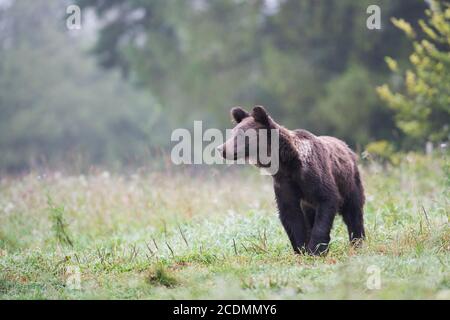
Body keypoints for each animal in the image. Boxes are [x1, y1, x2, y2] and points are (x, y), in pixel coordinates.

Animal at [218, 106, 366, 256]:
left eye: (241, 135)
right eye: (233, 133)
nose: (221, 148)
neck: (288, 163)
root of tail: (346, 146)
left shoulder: (314, 176)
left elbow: (327, 200)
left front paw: (315, 249)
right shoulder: (284, 183)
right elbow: (291, 215)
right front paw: (302, 248)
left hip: (350, 181)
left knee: (353, 212)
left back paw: (357, 242)